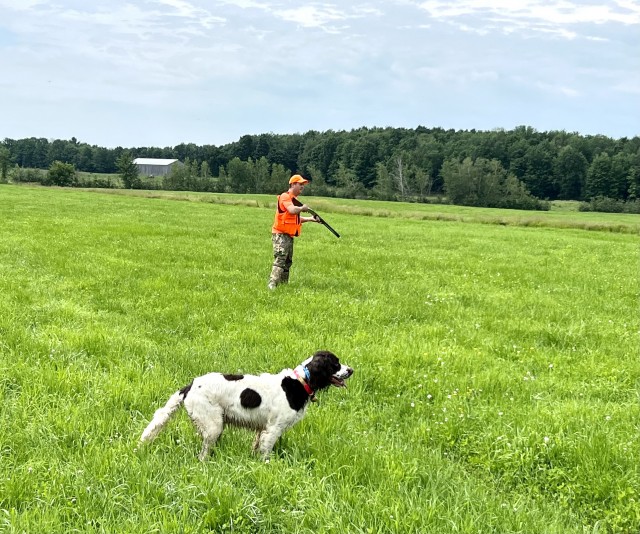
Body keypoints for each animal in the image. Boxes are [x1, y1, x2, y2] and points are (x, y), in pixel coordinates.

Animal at [139, 352, 356, 460]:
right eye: (336, 364)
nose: (351, 370)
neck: (300, 382)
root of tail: (190, 386)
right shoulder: (273, 429)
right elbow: (266, 452)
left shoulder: (262, 429)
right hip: (213, 426)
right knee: (203, 454)